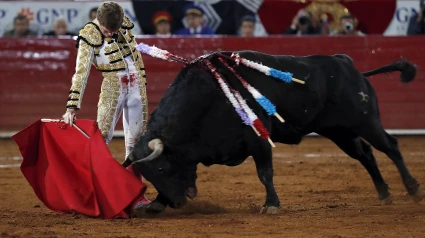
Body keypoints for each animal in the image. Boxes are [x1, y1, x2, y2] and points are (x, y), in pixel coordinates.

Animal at [121, 50, 420, 214]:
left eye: (161, 169)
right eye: (150, 175)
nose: (178, 203)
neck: (207, 99)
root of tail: (345, 62)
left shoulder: (259, 140)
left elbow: (265, 173)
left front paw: (272, 204)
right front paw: (156, 203)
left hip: (365, 121)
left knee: (390, 146)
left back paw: (412, 188)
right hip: (339, 131)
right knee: (366, 154)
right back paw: (384, 193)